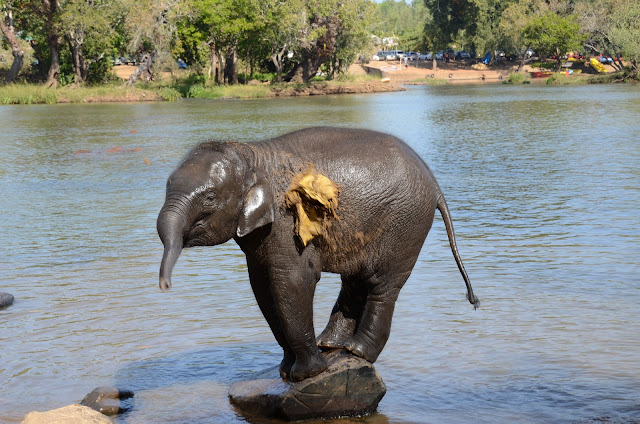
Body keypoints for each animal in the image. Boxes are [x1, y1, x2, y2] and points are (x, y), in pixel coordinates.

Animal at [158, 126, 478, 380]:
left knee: (382, 286)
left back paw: (357, 351)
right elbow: (262, 286)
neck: (252, 155)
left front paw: (307, 374)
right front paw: (286, 371)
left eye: (210, 198)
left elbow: (292, 281)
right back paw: (331, 346)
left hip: (405, 224)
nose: (165, 285)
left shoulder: (287, 221)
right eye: (167, 185)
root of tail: (434, 182)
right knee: (356, 281)